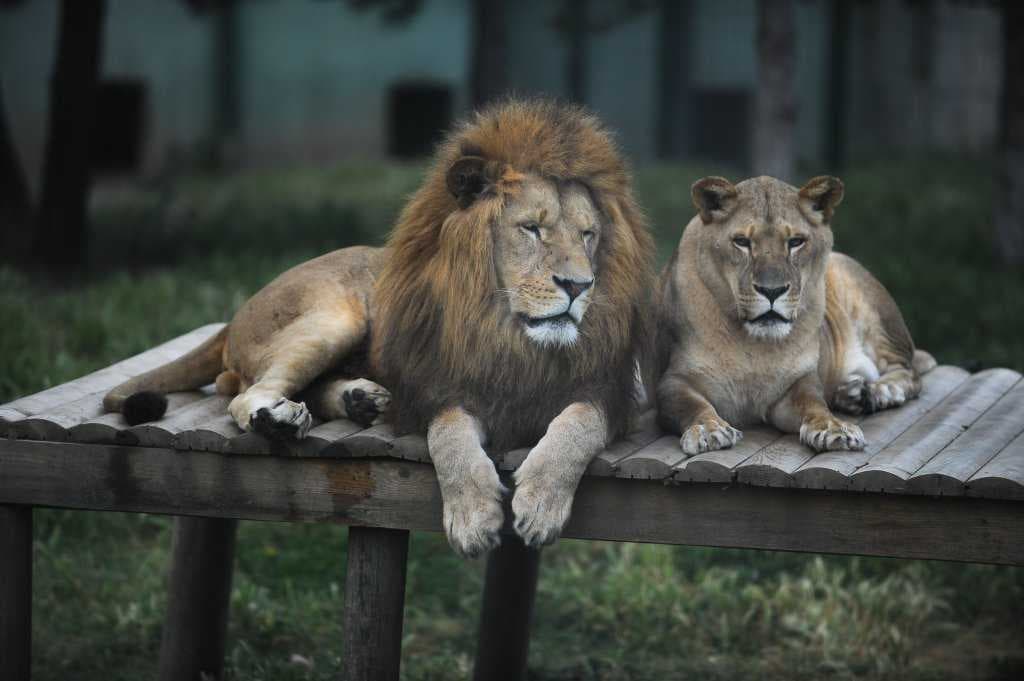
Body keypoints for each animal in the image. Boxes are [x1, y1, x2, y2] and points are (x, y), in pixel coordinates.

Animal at [104, 99, 654, 558]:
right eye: (532, 229)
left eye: (588, 235)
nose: (579, 286)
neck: (509, 338)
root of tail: (239, 312)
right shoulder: (443, 391)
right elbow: (450, 440)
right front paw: (473, 517)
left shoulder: (611, 395)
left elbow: (575, 427)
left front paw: (539, 505)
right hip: (335, 319)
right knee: (243, 394)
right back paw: (281, 417)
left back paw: (359, 401)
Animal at [651, 175, 935, 455]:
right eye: (742, 242)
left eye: (796, 242)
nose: (772, 291)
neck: (753, 344)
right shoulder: (673, 380)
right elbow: (692, 406)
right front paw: (708, 430)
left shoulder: (799, 382)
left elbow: (814, 404)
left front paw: (834, 428)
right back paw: (851, 394)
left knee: (910, 373)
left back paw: (875, 392)